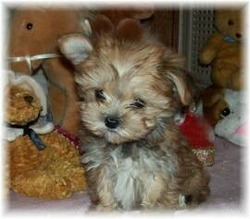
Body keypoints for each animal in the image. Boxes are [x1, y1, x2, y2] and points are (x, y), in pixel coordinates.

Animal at [58, 16, 209, 211]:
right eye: (99, 94)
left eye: (138, 103)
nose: (111, 121)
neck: (126, 144)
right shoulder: (102, 168)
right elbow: (105, 191)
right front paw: (105, 210)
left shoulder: (158, 172)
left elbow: (153, 198)